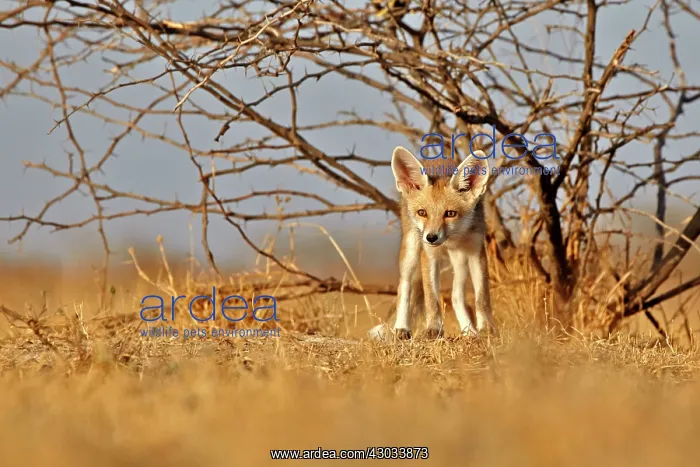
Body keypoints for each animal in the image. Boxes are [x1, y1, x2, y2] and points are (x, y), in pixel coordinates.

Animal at [368, 146, 496, 340]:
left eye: (450, 214)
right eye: (422, 213)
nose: (431, 237)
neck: (452, 239)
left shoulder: (476, 252)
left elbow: (482, 298)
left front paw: (486, 329)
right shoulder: (429, 256)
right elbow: (431, 299)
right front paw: (434, 329)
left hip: (460, 261)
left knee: (456, 296)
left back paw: (469, 331)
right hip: (411, 251)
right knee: (404, 286)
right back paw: (401, 328)